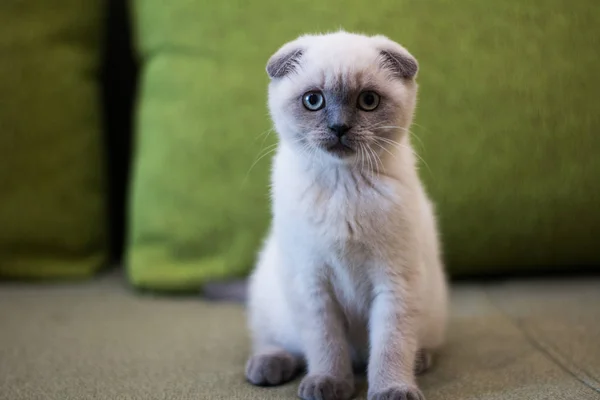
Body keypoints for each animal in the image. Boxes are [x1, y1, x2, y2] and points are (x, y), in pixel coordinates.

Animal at [244, 31, 446, 400]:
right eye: (313, 100)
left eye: (368, 101)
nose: (339, 127)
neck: (344, 182)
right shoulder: (312, 284)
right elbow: (326, 345)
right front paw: (329, 384)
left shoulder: (395, 282)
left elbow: (390, 345)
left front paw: (392, 389)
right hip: (272, 293)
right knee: (276, 341)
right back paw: (268, 366)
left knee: (412, 345)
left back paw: (420, 360)